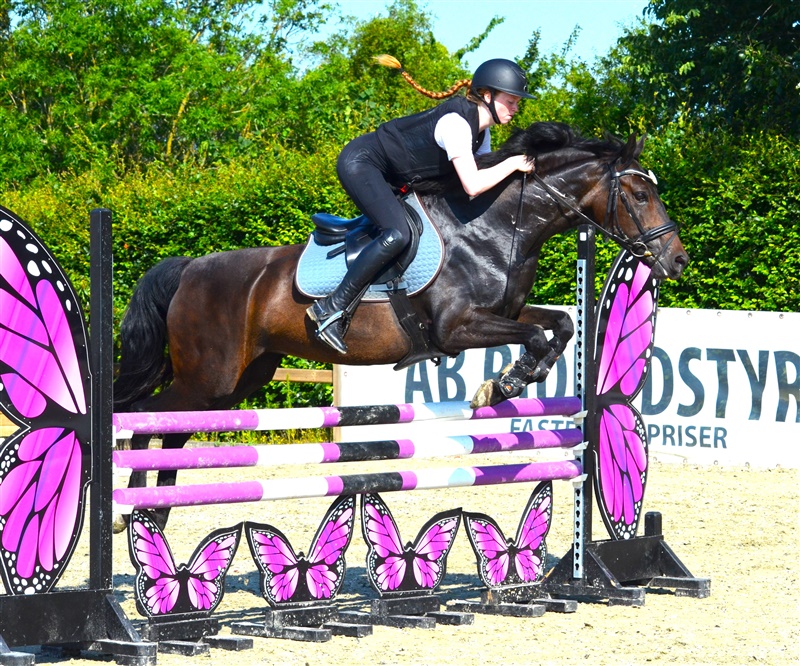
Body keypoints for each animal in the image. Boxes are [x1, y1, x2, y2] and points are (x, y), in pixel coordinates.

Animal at [113, 121, 689, 530]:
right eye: (640, 195)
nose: (677, 261)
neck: (494, 228)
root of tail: (190, 267)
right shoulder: (456, 328)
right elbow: (531, 336)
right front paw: (503, 382)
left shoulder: (502, 312)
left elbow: (561, 325)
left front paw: (518, 378)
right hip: (208, 376)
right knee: (144, 418)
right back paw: (127, 512)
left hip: (238, 381)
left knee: (175, 429)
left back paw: (155, 509)